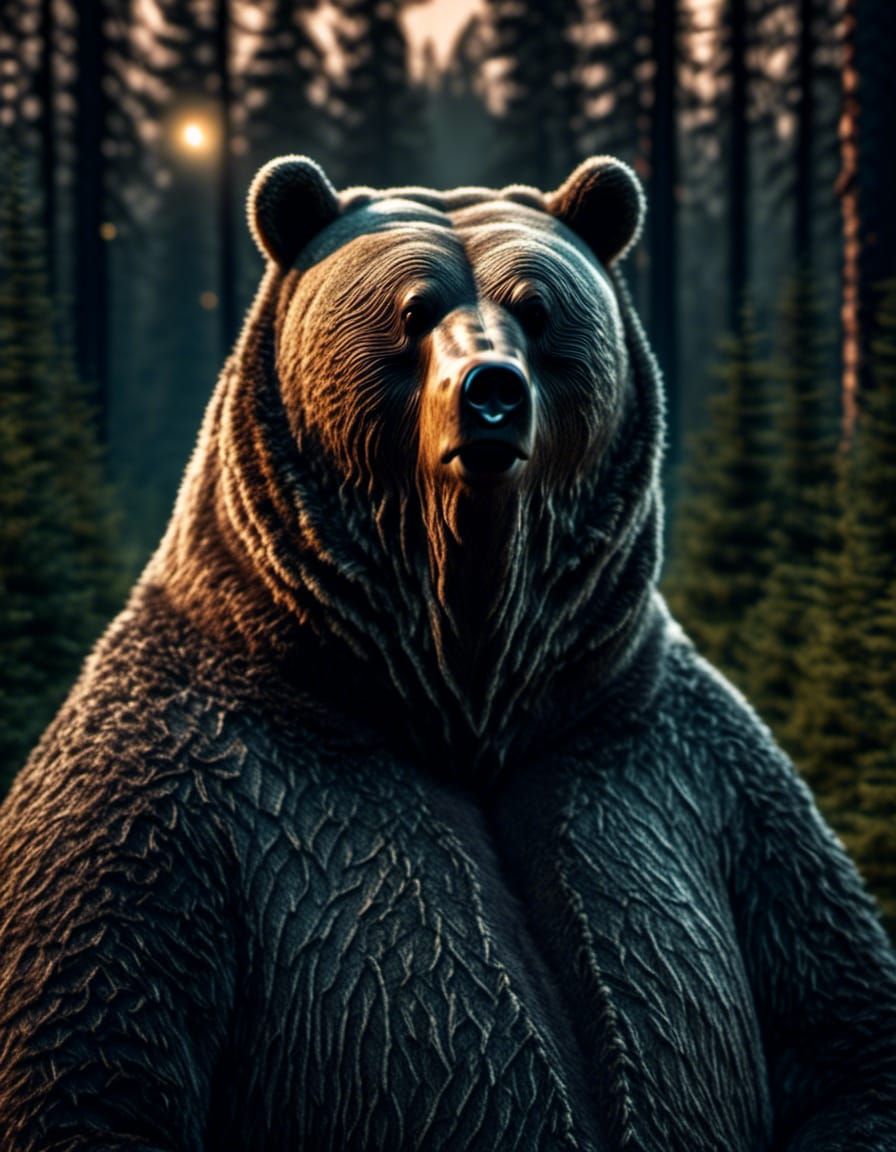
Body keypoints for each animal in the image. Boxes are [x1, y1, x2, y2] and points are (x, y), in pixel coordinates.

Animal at [0, 154, 895, 1152]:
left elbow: (839, 1023)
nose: (492, 390)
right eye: (412, 308)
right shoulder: (171, 793)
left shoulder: (689, 762)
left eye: (539, 309)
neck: (463, 689)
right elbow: (99, 1055)